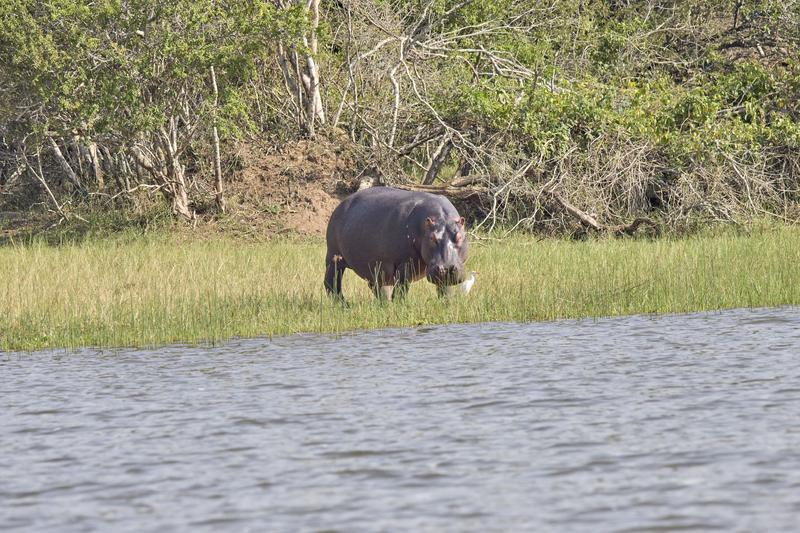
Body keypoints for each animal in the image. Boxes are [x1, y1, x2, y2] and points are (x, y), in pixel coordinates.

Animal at [324, 187, 468, 300]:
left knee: (377, 288)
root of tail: (342, 203)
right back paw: (345, 305)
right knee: (331, 283)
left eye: (460, 237)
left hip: (375, 268)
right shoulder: (405, 263)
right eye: (432, 238)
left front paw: (446, 304)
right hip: (333, 257)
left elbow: (445, 290)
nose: (447, 268)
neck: (440, 218)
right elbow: (401, 289)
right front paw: (400, 306)